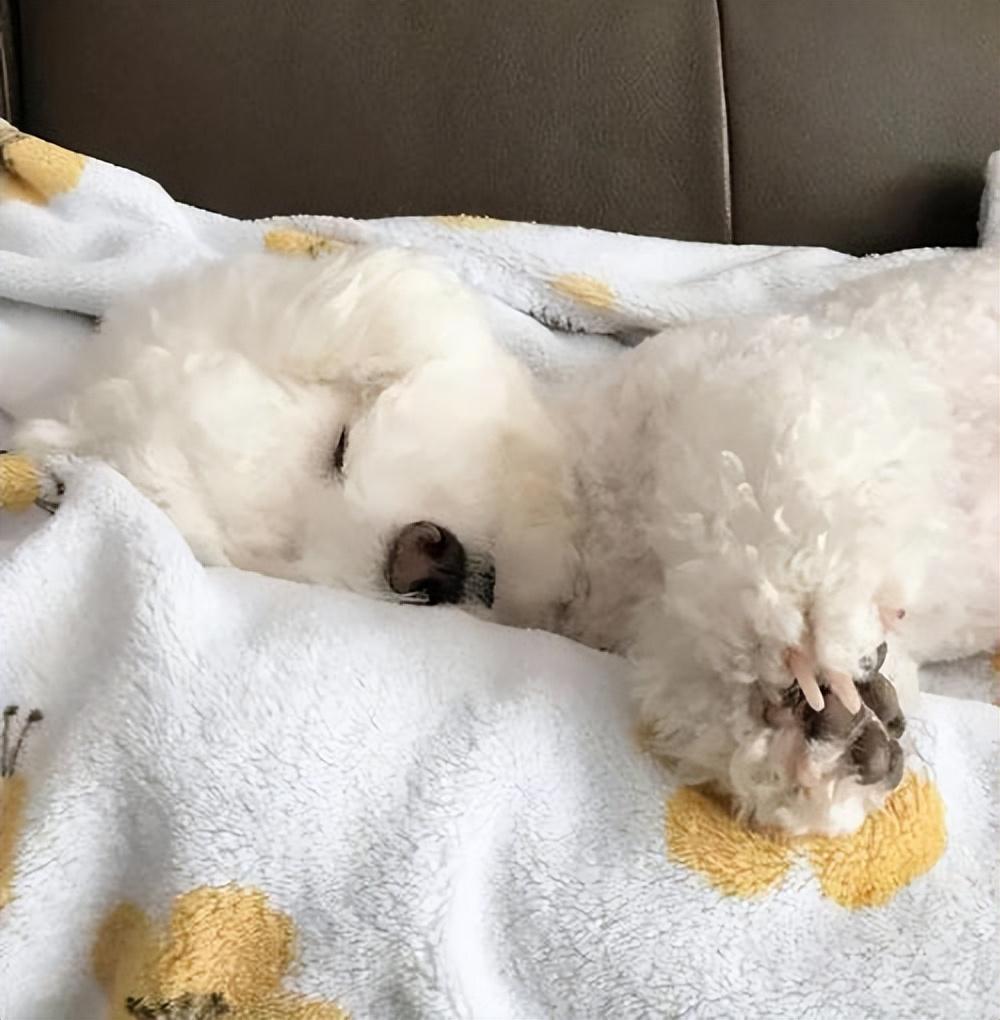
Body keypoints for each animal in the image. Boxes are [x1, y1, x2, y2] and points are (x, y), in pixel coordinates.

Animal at [13, 245, 999, 834]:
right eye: (287, 567)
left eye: (341, 445)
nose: (420, 558)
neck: (601, 528)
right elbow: (696, 686)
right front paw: (805, 734)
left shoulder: (782, 375)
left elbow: (773, 462)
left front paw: (802, 619)